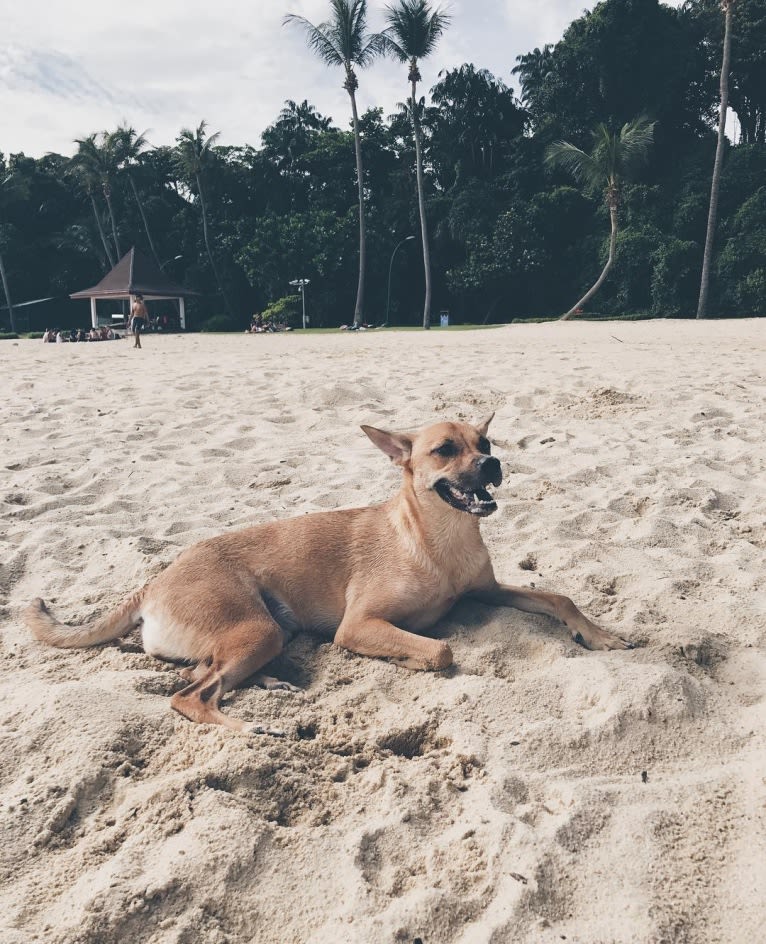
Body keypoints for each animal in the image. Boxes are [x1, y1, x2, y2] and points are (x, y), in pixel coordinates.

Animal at [25, 416, 636, 732]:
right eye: (445, 450)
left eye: (485, 443)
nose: (492, 464)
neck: (441, 539)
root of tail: (153, 580)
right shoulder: (359, 626)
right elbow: (440, 650)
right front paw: (418, 656)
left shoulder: (486, 591)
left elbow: (559, 598)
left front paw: (601, 635)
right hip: (256, 628)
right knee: (188, 697)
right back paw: (250, 724)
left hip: (264, 632)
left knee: (200, 673)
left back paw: (271, 683)